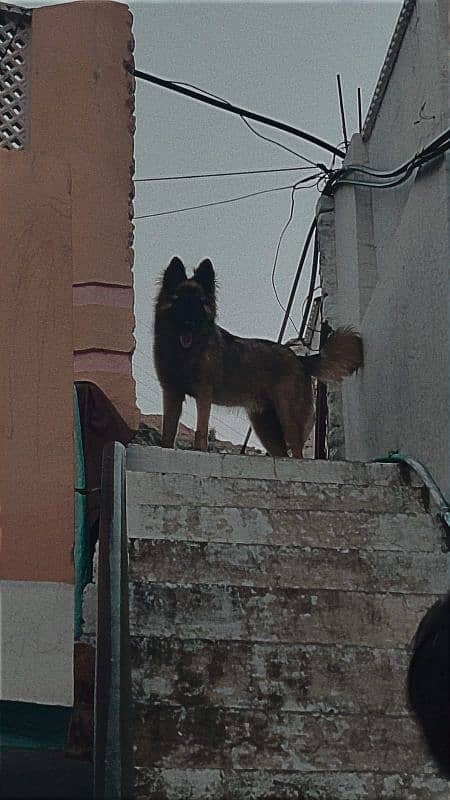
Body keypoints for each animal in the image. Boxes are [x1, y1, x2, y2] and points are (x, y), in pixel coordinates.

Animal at [154, 256, 362, 456]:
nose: (189, 324)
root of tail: (299, 359)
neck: (184, 353)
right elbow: (168, 432)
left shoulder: (204, 394)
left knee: (297, 451)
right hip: (265, 428)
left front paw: (199, 450)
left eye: (200, 302)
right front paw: (165, 448)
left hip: (288, 416)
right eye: (180, 300)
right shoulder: (171, 393)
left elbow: (201, 431)